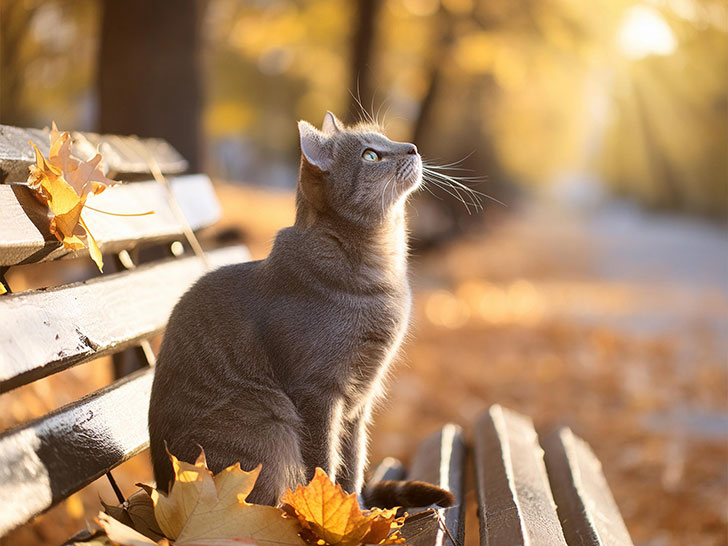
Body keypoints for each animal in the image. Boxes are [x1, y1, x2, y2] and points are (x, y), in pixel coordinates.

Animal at [147, 110, 452, 506]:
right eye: (371, 156)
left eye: (385, 140)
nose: (412, 147)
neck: (382, 274)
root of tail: (163, 489)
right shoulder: (318, 392)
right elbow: (322, 462)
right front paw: (324, 509)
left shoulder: (360, 400)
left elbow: (353, 462)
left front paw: (356, 510)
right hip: (270, 424)